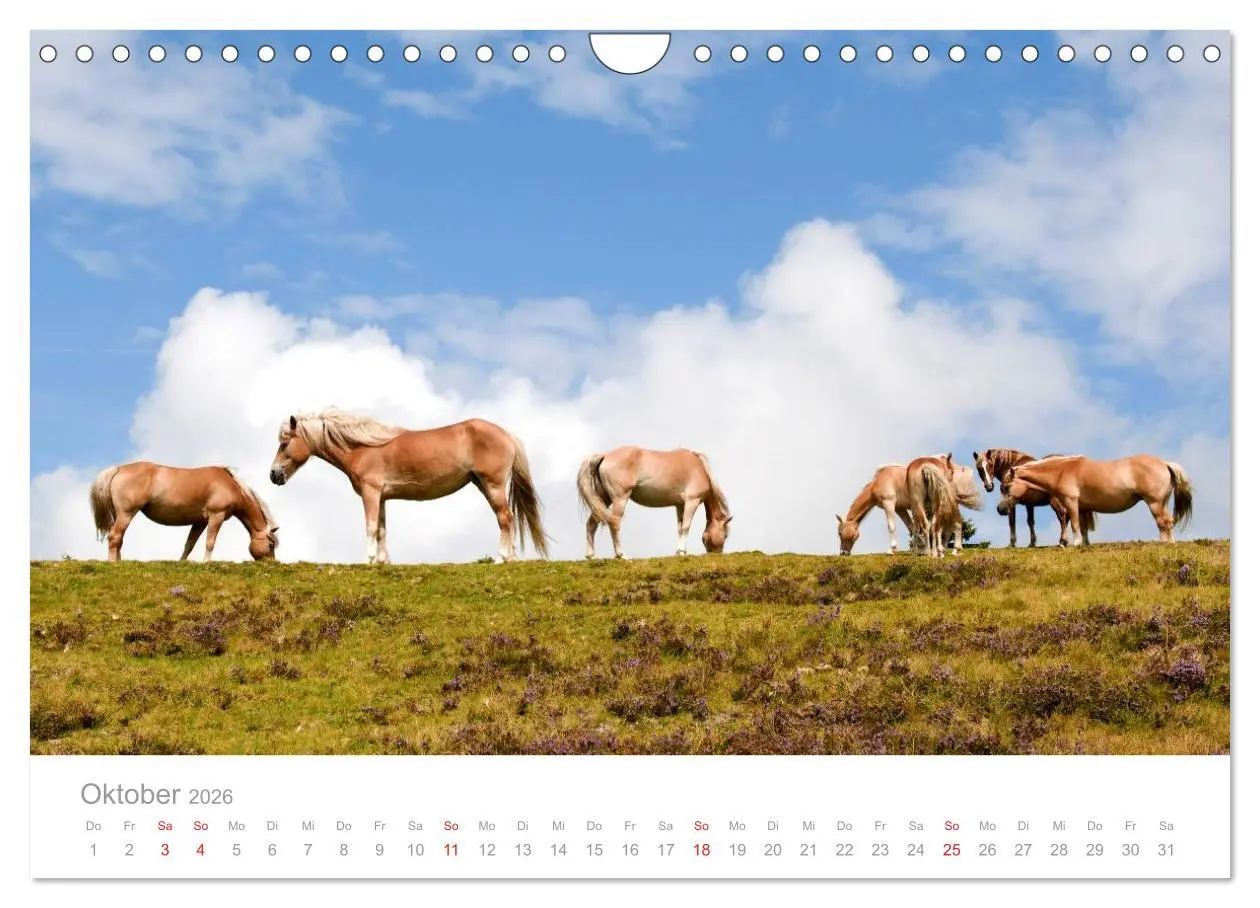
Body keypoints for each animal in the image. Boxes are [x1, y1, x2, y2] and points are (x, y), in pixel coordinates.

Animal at [89, 462, 279, 563]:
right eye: (271, 545)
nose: (272, 564)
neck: (231, 485)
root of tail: (118, 469)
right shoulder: (216, 516)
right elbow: (210, 542)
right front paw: (206, 563)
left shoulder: (200, 522)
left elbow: (189, 544)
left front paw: (182, 562)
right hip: (126, 514)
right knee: (114, 536)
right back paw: (113, 563)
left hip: (121, 515)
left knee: (119, 539)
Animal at [269, 409, 548, 564]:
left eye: (284, 444)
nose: (273, 475)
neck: (363, 447)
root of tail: (507, 435)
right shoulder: (381, 497)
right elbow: (382, 529)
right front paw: (383, 561)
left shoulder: (371, 493)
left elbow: (370, 527)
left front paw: (368, 560)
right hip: (483, 485)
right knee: (507, 519)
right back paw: (511, 558)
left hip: (493, 485)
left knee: (505, 518)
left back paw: (501, 558)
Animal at [576, 447, 733, 559]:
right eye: (725, 535)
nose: (717, 554)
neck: (699, 468)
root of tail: (604, 456)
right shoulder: (691, 502)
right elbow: (686, 527)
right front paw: (681, 551)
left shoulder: (680, 505)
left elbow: (680, 527)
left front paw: (680, 552)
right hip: (619, 499)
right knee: (614, 523)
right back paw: (621, 555)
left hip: (603, 500)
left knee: (591, 524)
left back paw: (591, 556)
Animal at [998, 454, 1192, 545]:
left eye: (1006, 487)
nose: (1000, 509)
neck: (1062, 470)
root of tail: (1164, 463)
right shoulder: (1083, 508)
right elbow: (1084, 528)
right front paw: (1084, 543)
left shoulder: (1071, 503)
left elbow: (1075, 525)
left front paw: (1074, 543)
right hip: (1162, 502)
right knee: (1168, 521)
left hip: (1154, 503)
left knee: (1163, 522)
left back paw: (1164, 543)